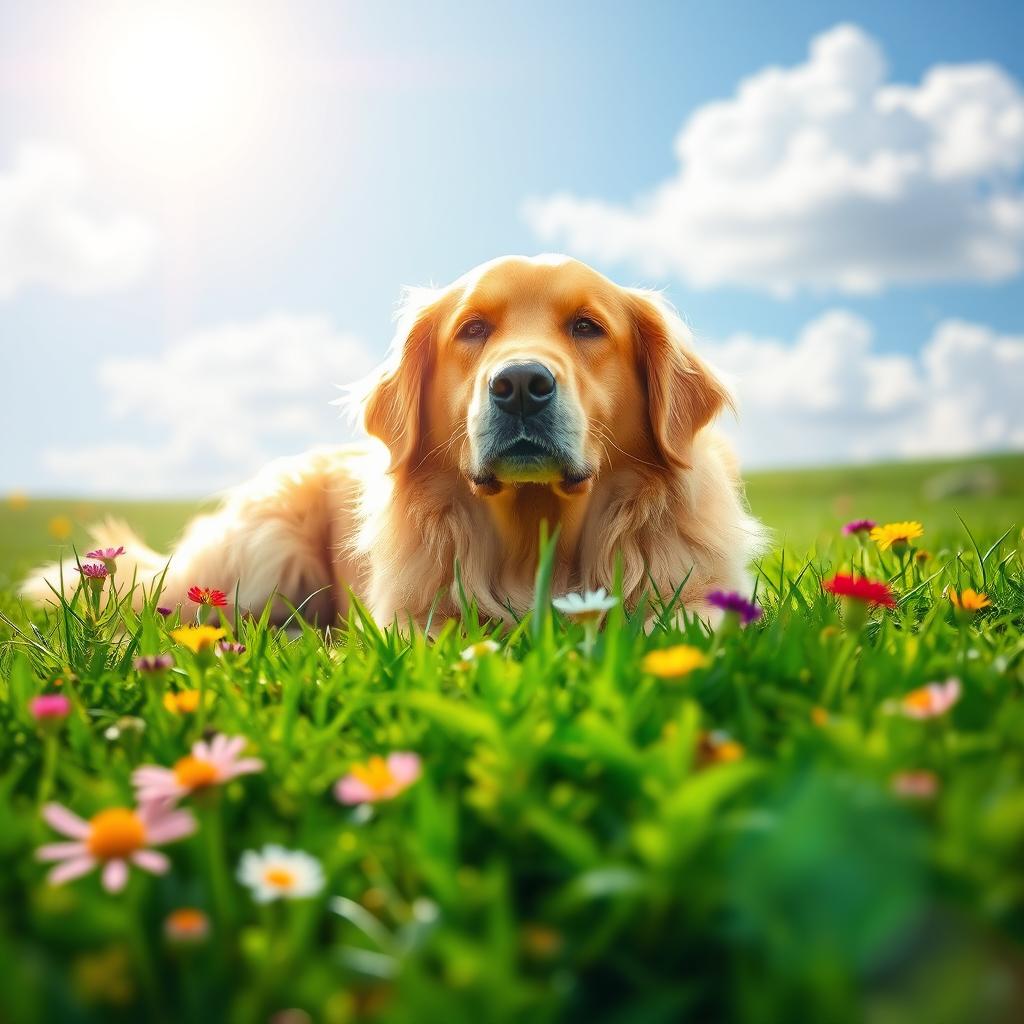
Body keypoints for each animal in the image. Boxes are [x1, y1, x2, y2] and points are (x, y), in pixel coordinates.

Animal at [22, 254, 770, 622]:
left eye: (587, 327)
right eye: (473, 329)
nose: (520, 385)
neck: (537, 536)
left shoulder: (703, 597)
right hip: (261, 553)